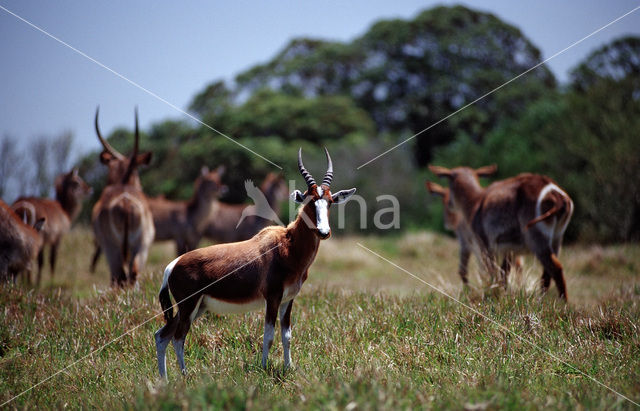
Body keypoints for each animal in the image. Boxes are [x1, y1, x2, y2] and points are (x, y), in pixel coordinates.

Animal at [92, 106, 154, 286]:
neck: (123, 183)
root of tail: (125, 202)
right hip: (141, 245)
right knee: (133, 272)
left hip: (112, 248)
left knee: (119, 276)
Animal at [154, 148, 356, 380]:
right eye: (309, 200)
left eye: (330, 201)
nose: (324, 232)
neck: (287, 246)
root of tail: (172, 266)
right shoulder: (273, 297)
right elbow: (268, 335)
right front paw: (264, 368)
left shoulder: (288, 299)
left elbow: (287, 335)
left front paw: (288, 368)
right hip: (189, 306)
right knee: (178, 337)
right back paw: (185, 375)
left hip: (197, 307)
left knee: (162, 335)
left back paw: (165, 379)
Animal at [430, 166, 576, 300]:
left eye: (449, 182)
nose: (450, 205)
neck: (475, 202)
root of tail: (556, 194)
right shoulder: (510, 251)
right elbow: (504, 274)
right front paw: (503, 294)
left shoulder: (484, 245)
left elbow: (492, 274)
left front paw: (494, 295)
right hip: (557, 239)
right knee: (547, 274)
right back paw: (544, 301)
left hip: (537, 239)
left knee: (555, 268)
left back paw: (562, 304)